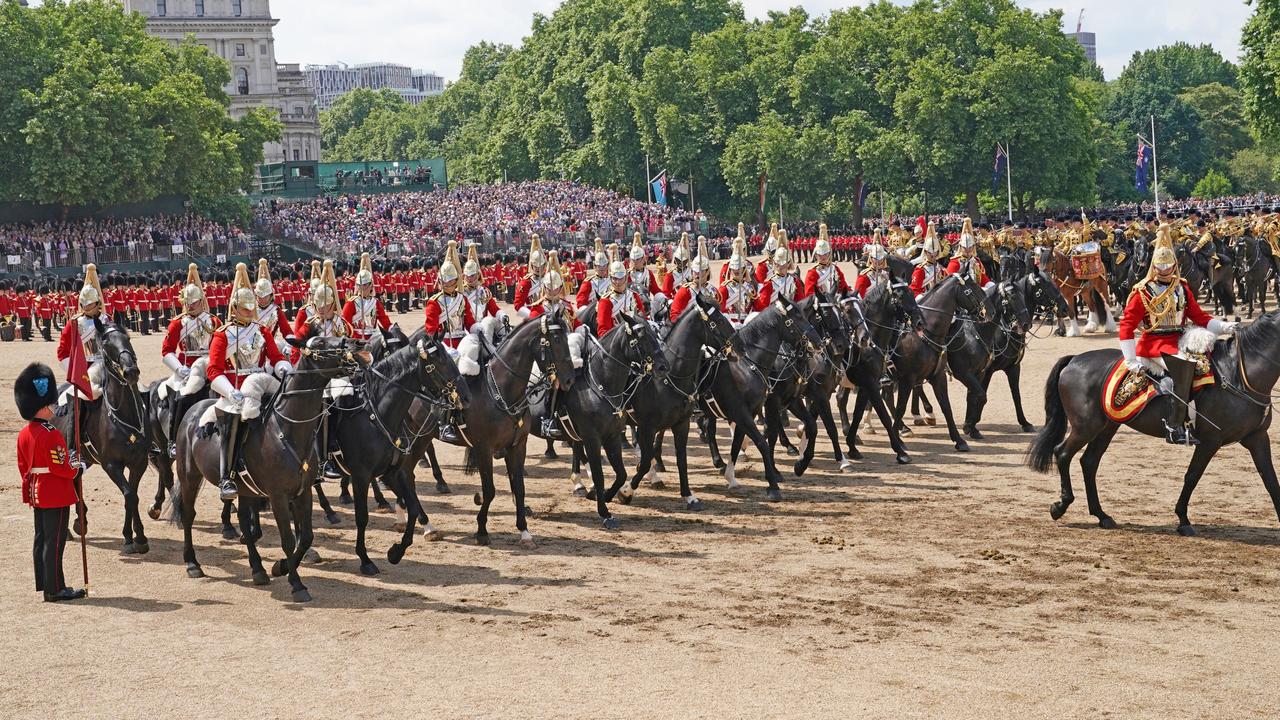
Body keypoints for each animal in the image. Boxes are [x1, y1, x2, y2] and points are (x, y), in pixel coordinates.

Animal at [50, 322, 151, 550]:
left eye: (128, 338)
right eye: (105, 344)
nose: (131, 372)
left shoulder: (138, 462)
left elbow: (132, 496)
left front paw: (135, 536)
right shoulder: (111, 465)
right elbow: (129, 495)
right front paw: (134, 538)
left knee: (75, 483)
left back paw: (80, 522)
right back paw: (71, 528)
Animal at [170, 335, 366, 599]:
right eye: (320, 343)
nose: (356, 344)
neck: (288, 430)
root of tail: (193, 410)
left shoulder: (303, 492)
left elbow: (306, 536)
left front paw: (280, 567)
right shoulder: (278, 496)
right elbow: (288, 540)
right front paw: (296, 584)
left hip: (245, 489)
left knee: (244, 522)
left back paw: (258, 569)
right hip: (190, 477)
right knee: (189, 515)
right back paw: (192, 563)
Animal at [1024, 311, 1280, 535]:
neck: (1238, 375)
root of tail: (1074, 359)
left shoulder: (1257, 438)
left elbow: (1270, 480)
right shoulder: (1210, 441)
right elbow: (1192, 476)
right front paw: (1183, 520)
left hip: (1107, 426)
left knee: (1089, 462)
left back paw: (1101, 515)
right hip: (1085, 426)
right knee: (1063, 453)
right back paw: (1060, 506)